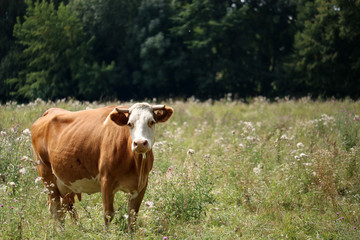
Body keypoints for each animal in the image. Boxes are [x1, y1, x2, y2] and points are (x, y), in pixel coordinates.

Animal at [30, 102, 174, 231]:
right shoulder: (106, 181)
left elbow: (132, 216)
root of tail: (50, 111)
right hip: (47, 176)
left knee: (66, 207)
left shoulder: (142, 184)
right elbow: (108, 214)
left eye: (152, 122)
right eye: (129, 123)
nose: (139, 143)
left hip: (66, 182)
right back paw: (60, 232)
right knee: (55, 207)